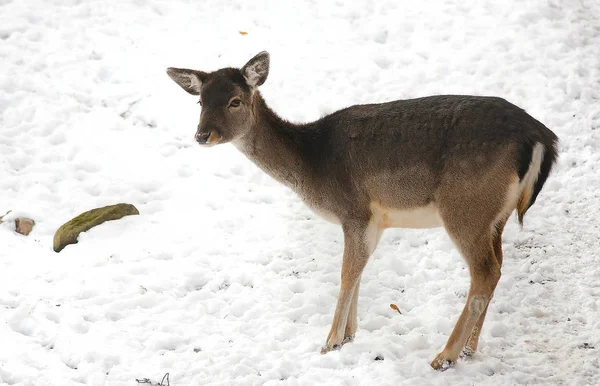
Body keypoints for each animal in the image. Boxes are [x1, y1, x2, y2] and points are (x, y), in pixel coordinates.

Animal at [165, 50, 556, 368]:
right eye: (200, 102)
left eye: (235, 101)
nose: (203, 135)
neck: (312, 165)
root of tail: (541, 138)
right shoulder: (375, 221)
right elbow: (359, 271)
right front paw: (349, 336)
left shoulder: (354, 211)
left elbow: (345, 273)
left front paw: (329, 342)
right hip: (495, 216)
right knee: (497, 267)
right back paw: (470, 349)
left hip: (465, 207)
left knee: (485, 271)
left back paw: (444, 356)